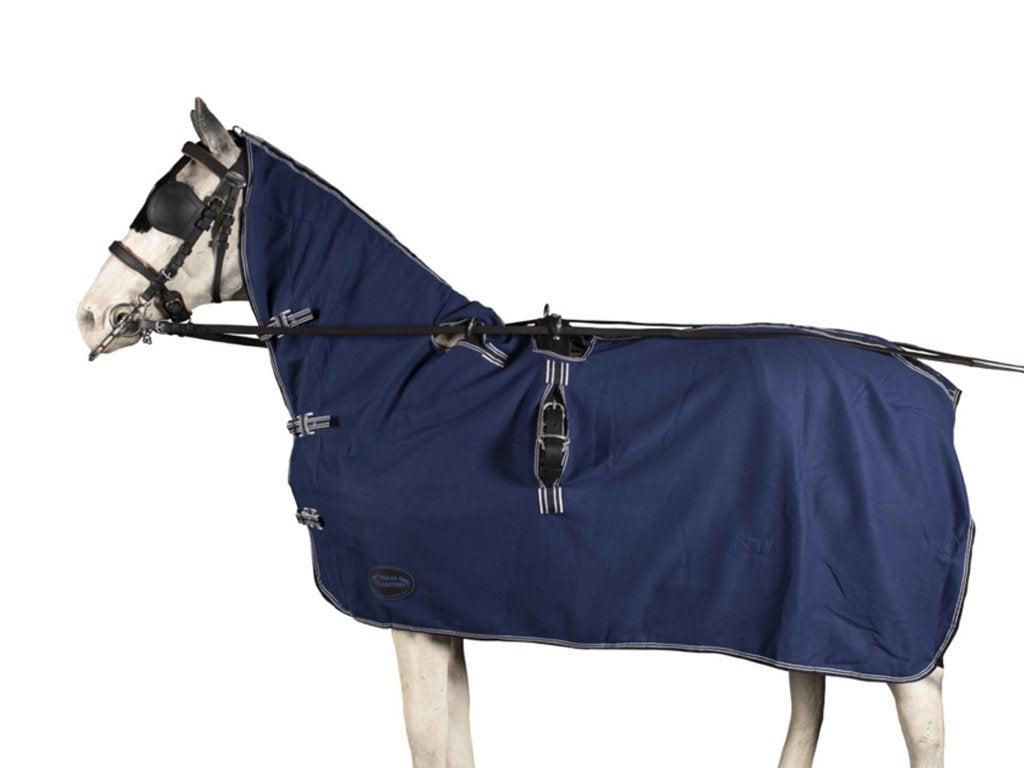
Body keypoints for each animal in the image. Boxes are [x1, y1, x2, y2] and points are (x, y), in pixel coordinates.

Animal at [78, 99, 960, 768]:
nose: (90, 314)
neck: (396, 376)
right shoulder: (442, 616)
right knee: (808, 695)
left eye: (172, 205)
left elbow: (430, 748)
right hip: (796, 608)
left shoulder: (405, 608)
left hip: (889, 638)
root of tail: (934, 385)